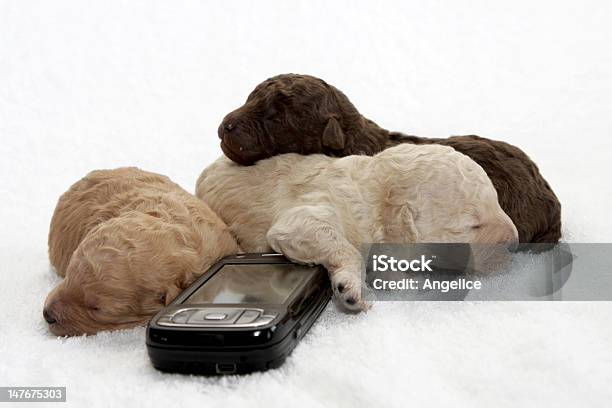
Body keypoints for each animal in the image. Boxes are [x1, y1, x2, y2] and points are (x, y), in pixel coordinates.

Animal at [197, 144, 520, 312]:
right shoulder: (308, 214)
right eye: (473, 224)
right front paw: (352, 289)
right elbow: (340, 244)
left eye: (497, 201)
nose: (516, 243)